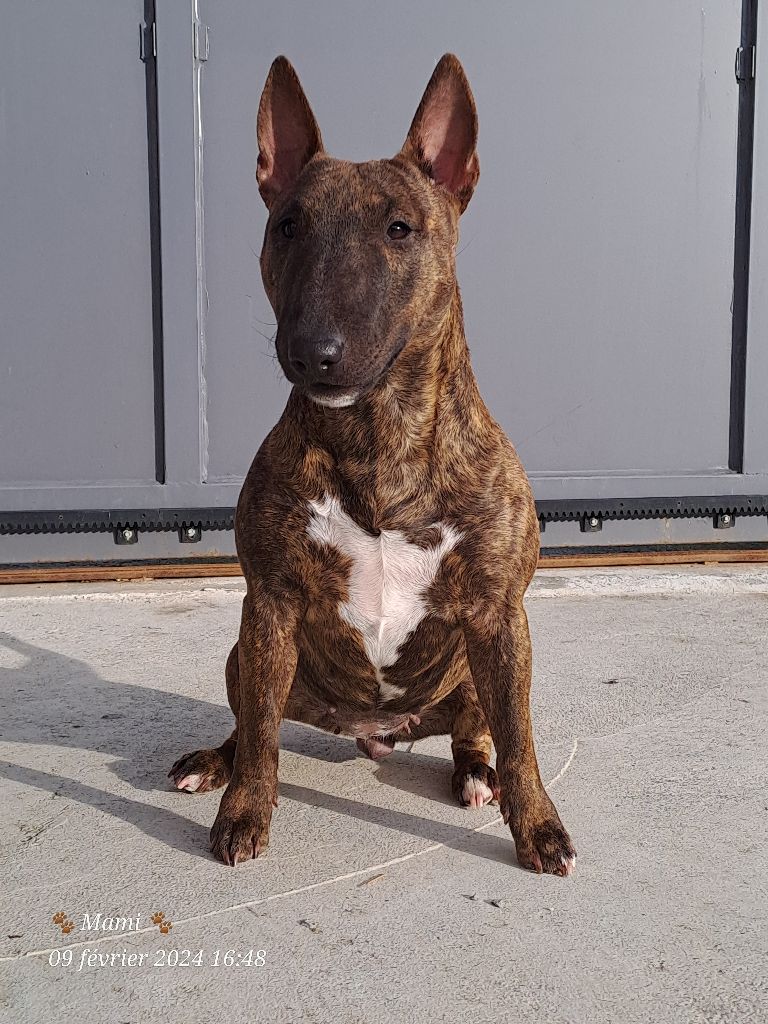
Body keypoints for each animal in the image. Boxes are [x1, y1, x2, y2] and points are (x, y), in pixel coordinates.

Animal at [169, 54, 576, 876]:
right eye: (286, 226)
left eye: (399, 228)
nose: (312, 351)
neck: (378, 435)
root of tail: (373, 732)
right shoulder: (269, 604)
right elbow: (262, 740)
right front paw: (245, 811)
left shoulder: (501, 614)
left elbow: (522, 742)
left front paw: (540, 828)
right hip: (245, 653)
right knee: (252, 722)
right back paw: (213, 761)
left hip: (473, 671)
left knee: (478, 729)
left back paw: (475, 775)